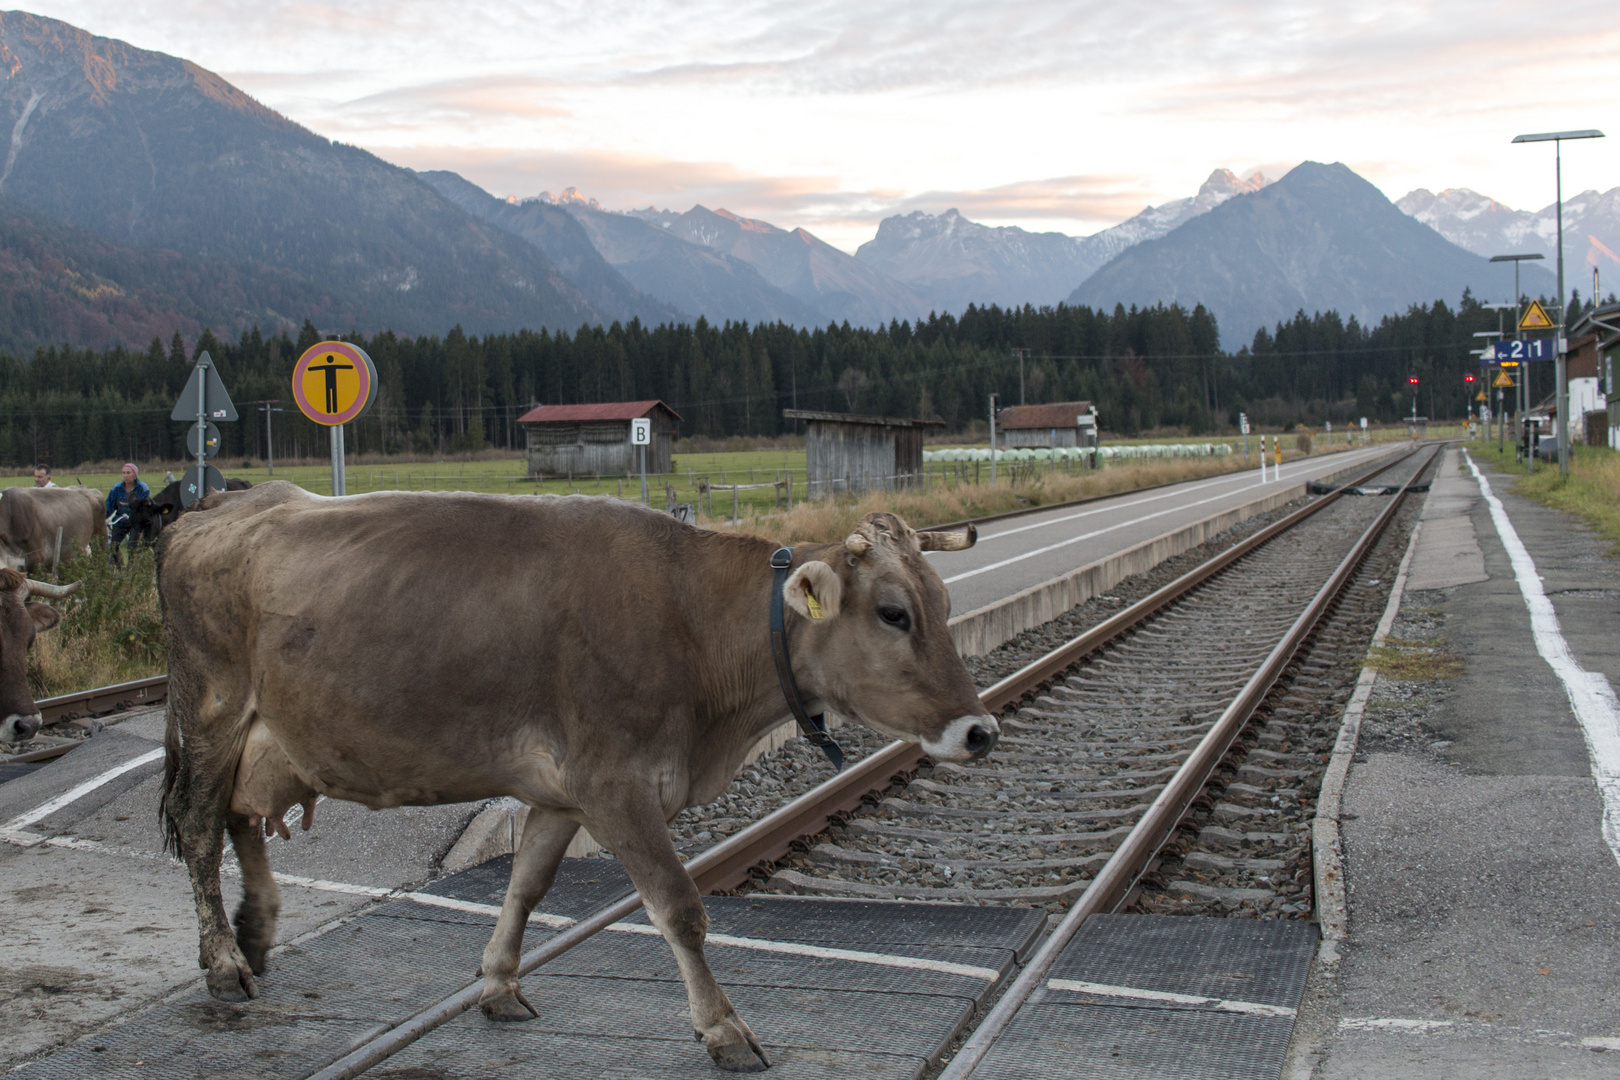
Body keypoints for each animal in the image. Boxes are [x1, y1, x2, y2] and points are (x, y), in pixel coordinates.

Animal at [157, 482, 991, 1075]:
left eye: (944, 604)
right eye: (894, 613)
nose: (979, 731)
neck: (695, 628)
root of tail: (219, 504)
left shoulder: (562, 792)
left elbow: (526, 887)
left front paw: (499, 984)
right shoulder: (615, 783)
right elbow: (679, 908)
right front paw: (724, 1028)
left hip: (265, 738)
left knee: (239, 817)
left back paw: (257, 931)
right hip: (212, 710)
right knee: (199, 828)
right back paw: (225, 965)